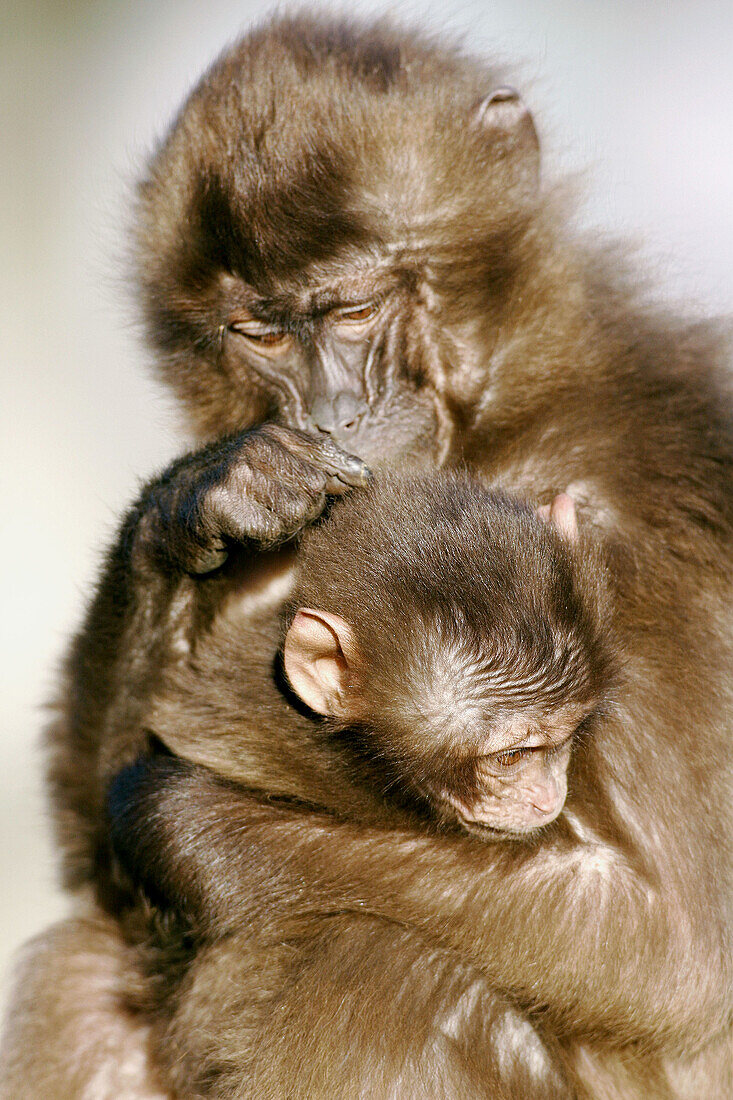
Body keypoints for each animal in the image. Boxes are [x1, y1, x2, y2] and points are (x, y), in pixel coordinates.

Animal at [0, 12, 726, 1100]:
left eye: (350, 310)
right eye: (257, 331)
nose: (331, 411)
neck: (507, 413)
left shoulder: (622, 526)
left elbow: (675, 945)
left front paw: (176, 817)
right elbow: (93, 851)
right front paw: (194, 501)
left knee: (383, 957)